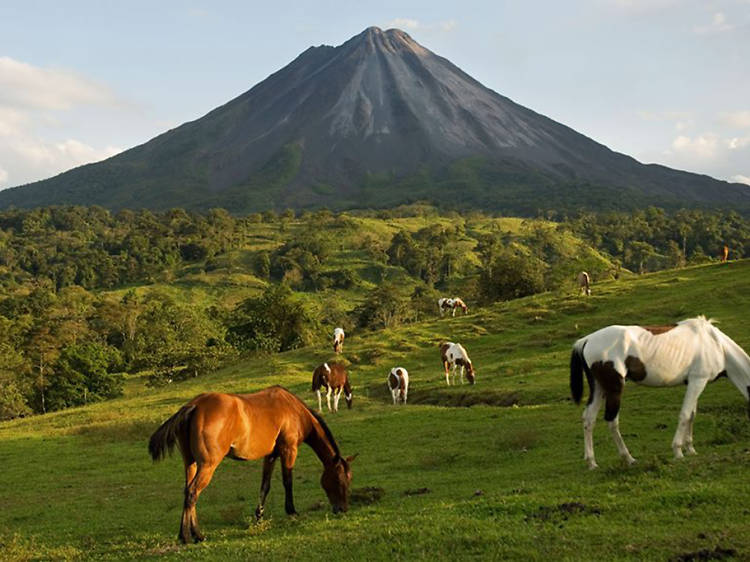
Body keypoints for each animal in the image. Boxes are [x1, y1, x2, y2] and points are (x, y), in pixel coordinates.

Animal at [151, 384, 356, 544]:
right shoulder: (288, 450)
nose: (343, 509)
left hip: (191, 464)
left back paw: (186, 534)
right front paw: (291, 511)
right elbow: (287, 481)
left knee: (187, 492)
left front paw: (259, 516)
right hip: (207, 465)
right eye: (339, 479)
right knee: (193, 493)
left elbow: (265, 486)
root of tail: (194, 406)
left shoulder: (271, 456)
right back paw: (193, 536)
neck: (294, 410)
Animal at [572, 316, 748, 468]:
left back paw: (592, 463)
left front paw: (691, 449)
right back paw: (628, 458)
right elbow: (685, 415)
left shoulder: (695, 382)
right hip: (615, 389)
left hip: (599, 389)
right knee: (612, 421)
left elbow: (692, 415)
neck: (716, 345)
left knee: (589, 419)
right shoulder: (698, 381)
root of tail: (586, 340)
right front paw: (678, 451)